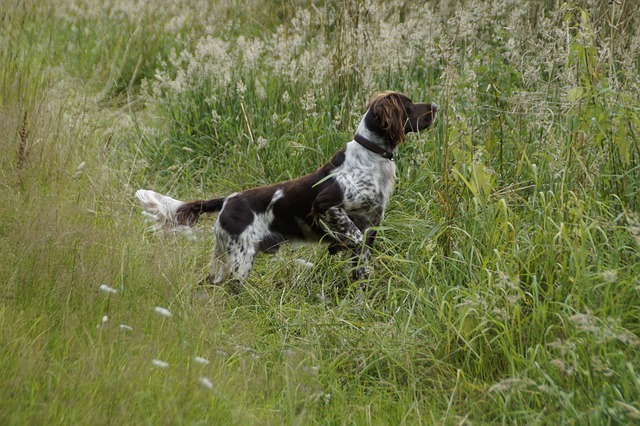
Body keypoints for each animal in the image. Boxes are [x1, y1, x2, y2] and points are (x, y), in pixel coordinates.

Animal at [134, 92, 436, 288]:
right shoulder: (326, 205)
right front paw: (337, 246)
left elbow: (361, 266)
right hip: (240, 260)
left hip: (223, 258)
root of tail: (227, 200)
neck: (371, 157)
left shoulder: (371, 223)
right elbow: (352, 237)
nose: (435, 105)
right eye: (409, 105)